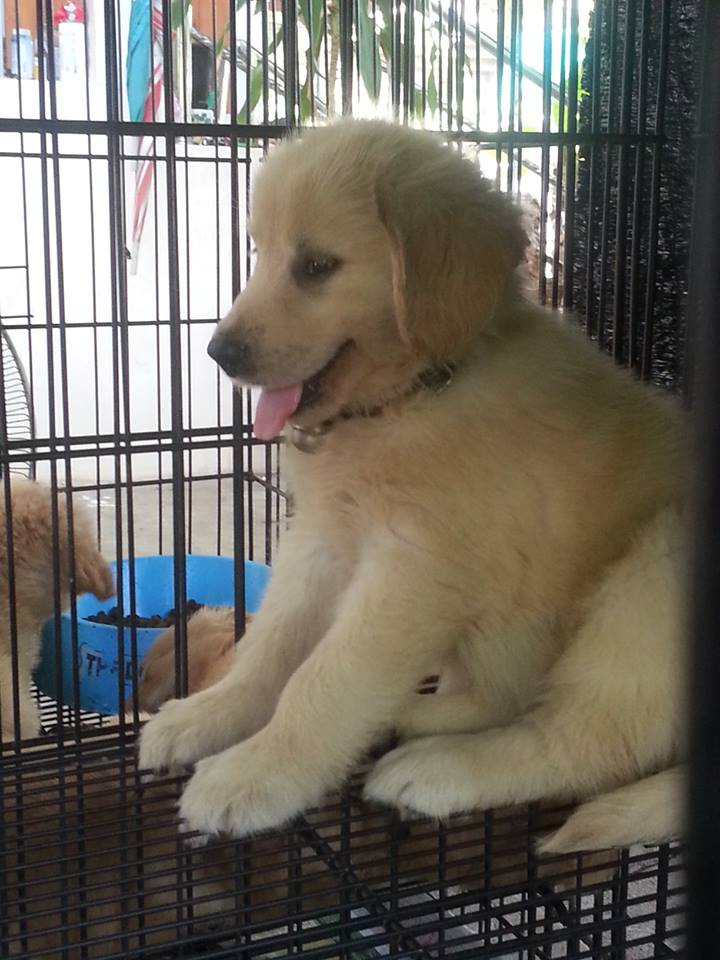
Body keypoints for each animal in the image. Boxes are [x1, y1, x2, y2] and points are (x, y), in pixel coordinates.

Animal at [139, 119, 686, 854]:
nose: (219, 354)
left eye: (316, 265)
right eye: (259, 252)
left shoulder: (415, 571)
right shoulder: (323, 540)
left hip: (656, 573)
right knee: (512, 699)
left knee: (586, 742)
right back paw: (406, 718)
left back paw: (440, 768)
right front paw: (208, 713)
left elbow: (326, 679)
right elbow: (268, 646)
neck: (410, 397)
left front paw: (256, 774)